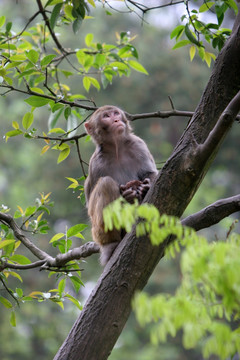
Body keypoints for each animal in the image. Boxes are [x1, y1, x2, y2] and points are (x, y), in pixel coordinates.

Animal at [84, 105, 158, 266]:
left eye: (116, 113)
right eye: (106, 116)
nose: (116, 120)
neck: (117, 148)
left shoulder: (139, 145)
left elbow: (151, 173)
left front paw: (144, 188)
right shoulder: (96, 163)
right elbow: (89, 202)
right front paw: (128, 195)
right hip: (97, 232)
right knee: (106, 183)